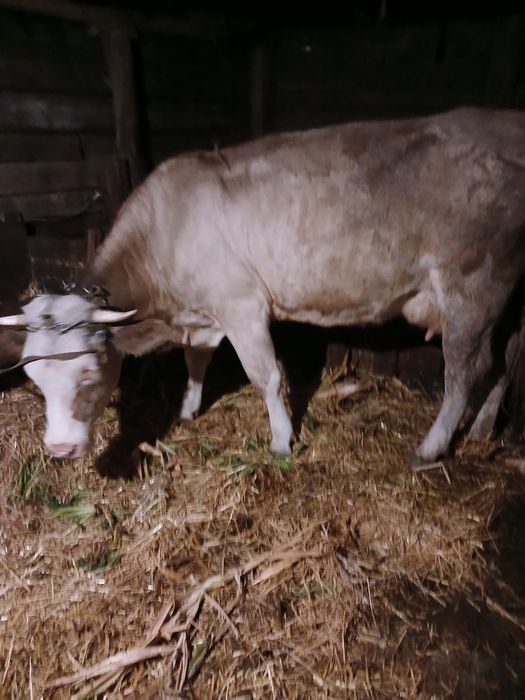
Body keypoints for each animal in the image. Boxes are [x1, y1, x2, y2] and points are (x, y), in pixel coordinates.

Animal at [1, 107, 524, 464]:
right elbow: (196, 362)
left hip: (471, 288)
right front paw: (189, 408)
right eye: (35, 381)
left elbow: (266, 376)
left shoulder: (242, 307)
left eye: (89, 373)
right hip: (504, 298)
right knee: (505, 363)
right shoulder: (205, 313)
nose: (61, 450)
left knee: (466, 372)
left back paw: (430, 447)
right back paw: (480, 432)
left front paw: (280, 441)